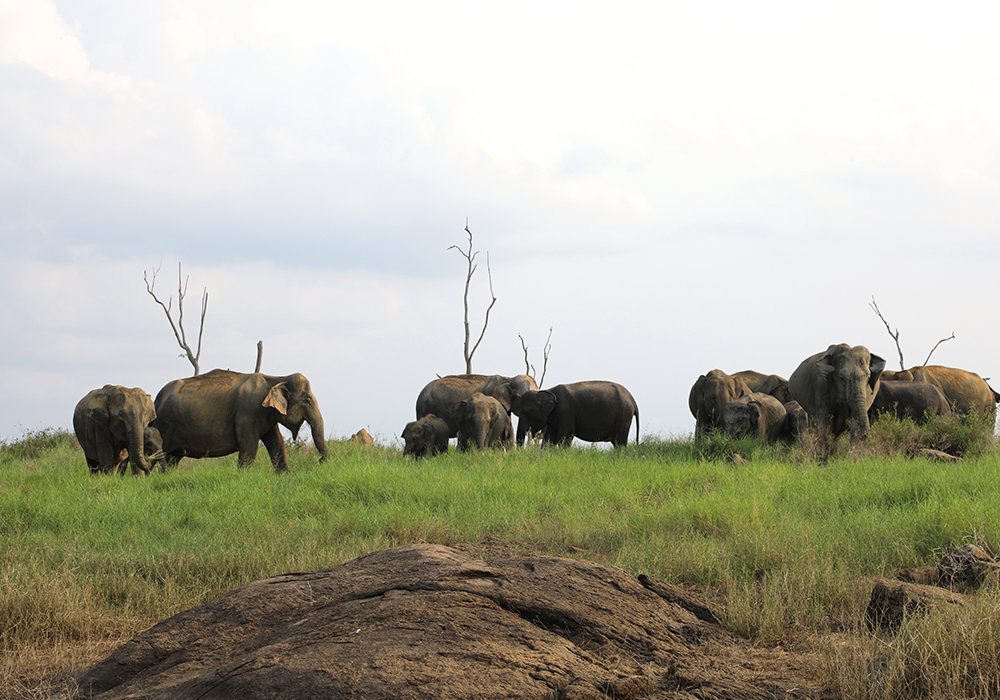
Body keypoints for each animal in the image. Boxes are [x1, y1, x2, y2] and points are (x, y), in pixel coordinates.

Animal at [152, 369, 328, 472]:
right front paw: (244, 478)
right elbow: (249, 445)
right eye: (308, 401)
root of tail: (157, 399)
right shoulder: (247, 413)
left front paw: (285, 476)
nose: (320, 461)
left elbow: (276, 443)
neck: (277, 378)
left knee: (172, 459)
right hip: (164, 426)